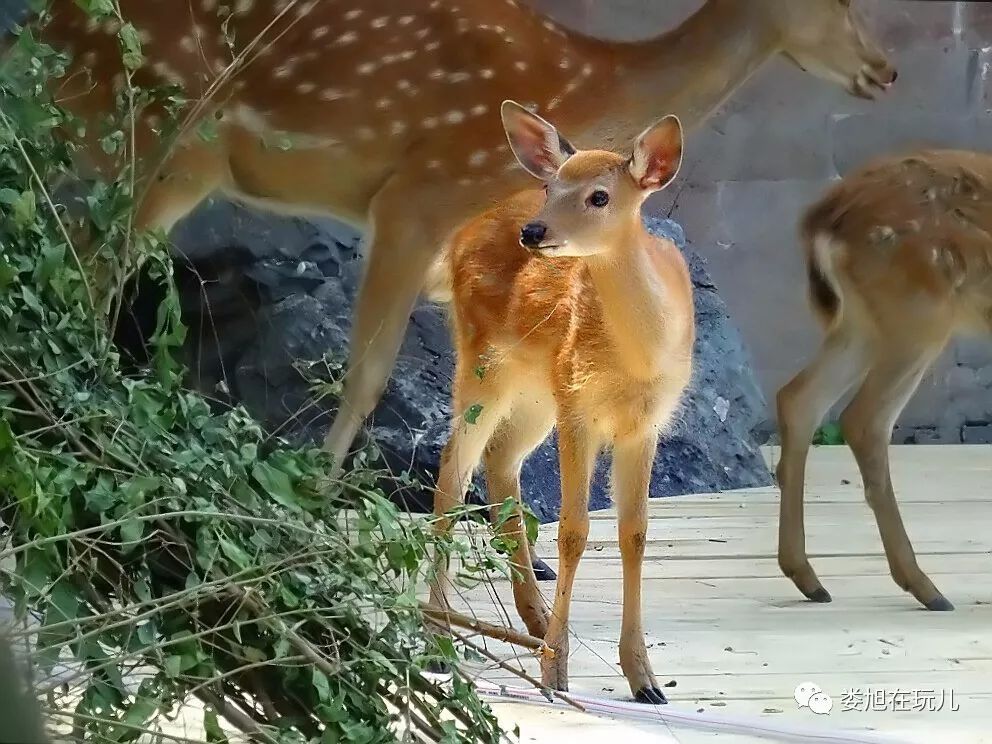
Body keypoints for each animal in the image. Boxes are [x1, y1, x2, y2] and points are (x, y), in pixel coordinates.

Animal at [29, 0, 900, 476]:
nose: (887, 69)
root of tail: (41, 26)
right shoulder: (420, 194)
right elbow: (370, 373)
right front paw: (318, 500)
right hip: (163, 130)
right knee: (82, 268)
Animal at [430, 103, 692, 704]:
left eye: (599, 195)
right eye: (551, 186)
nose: (534, 230)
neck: (638, 361)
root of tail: (459, 235)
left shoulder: (646, 422)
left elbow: (635, 533)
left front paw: (644, 679)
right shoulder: (580, 407)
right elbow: (575, 532)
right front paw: (556, 671)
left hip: (536, 390)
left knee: (500, 463)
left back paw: (534, 617)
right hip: (483, 362)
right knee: (453, 472)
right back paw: (439, 633)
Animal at [780, 148, 992, 612]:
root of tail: (822, 219)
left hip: (862, 321)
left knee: (799, 399)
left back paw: (809, 579)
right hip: (918, 311)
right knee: (864, 420)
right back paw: (926, 587)